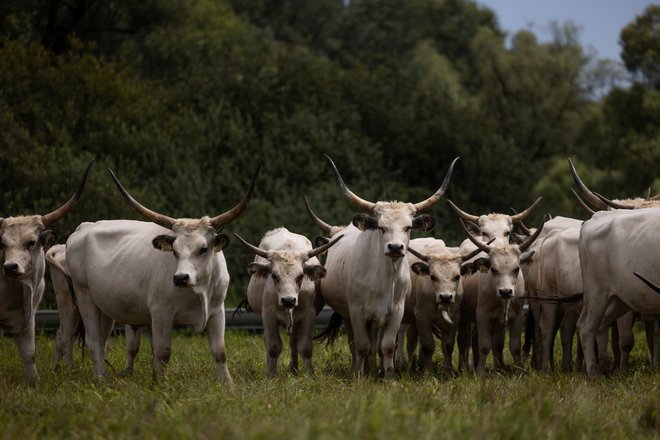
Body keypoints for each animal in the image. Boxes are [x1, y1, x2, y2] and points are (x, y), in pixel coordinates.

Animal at [0, 162, 93, 382]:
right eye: (2, 244)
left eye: (31, 241)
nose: (10, 267)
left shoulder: (29, 317)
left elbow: (29, 353)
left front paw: (35, 382)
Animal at [65, 167, 260, 384]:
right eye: (174, 250)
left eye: (203, 248)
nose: (181, 278)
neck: (199, 289)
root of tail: (84, 227)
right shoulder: (161, 313)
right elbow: (162, 352)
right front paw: (160, 383)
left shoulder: (217, 311)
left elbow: (220, 352)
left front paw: (228, 384)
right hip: (84, 295)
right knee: (93, 341)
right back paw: (101, 379)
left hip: (105, 306)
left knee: (102, 340)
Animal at [233, 229, 342, 376]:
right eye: (274, 276)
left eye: (300, 276)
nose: (288, 300)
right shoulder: (268, 315)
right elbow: (273, 346)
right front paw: (271, 375)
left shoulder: (308, 315)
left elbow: (305, 347)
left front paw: (310, 375)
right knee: (268, 341)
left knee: (293, 342)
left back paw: (294, 370)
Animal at [576, 206, 660, 374]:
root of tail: (594, 218)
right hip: (596, 292)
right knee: (586, 326)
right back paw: (593, 372)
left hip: (620, 298)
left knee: (602, 323)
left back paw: (605, 364)